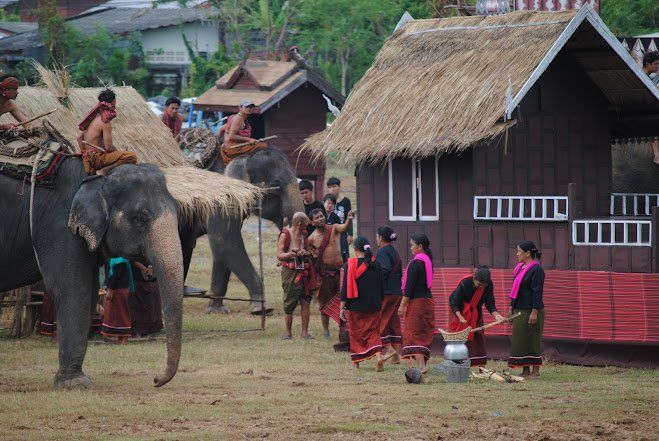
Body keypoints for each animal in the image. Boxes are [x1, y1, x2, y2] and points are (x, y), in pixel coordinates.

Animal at [0, 158, 183, 388]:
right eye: (140, 219)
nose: (156, 379)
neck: (97, 176)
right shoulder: (60, 227)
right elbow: (74, 291)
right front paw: (75, 384)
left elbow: (91, 293)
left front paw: (75, 380)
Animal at [180, 145, 304, 312]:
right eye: (277, 185)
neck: (242, 156)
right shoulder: (221, 201)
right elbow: (225, 243)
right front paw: (261, 308)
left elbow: (222, 251)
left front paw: (217, 310)